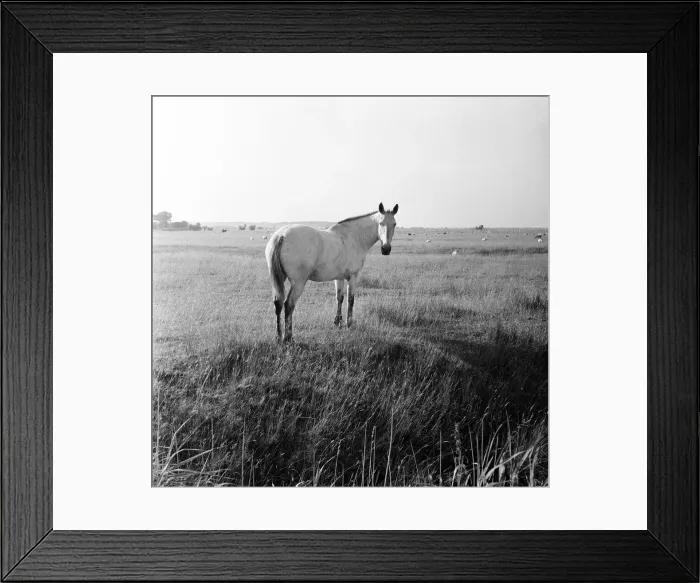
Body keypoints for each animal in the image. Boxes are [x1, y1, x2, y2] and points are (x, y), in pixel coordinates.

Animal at [265, 202, 399, 342]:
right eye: (381, 223)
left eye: (394, 224)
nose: (386, 249)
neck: (354, 237)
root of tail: (282, 235)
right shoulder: (353, 276)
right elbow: (350, 300)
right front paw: (349, 324)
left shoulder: (339, 278)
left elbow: (339, 298)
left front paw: (338, 322)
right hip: (298, 283)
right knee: (289, 305)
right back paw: (288, 337)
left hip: (279, 279)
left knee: (278, 303)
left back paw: (279, 336)